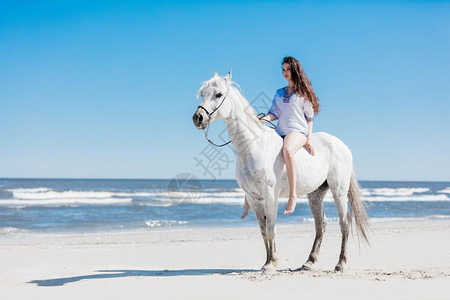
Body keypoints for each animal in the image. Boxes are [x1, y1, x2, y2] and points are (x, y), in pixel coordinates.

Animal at [192, 71, 370, 274]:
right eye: (203, 94)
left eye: (219, 94)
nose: (198, 118)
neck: (253, 145)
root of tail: (342, 145)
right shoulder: (253, 197)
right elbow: (263, 230)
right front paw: (267, 261)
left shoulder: (270, 193)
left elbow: (271, 227)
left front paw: (271, 264)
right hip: (315, 194)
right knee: (321, 225)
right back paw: (309, 262)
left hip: (338, 191)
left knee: (344, 223)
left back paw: (340, 263)